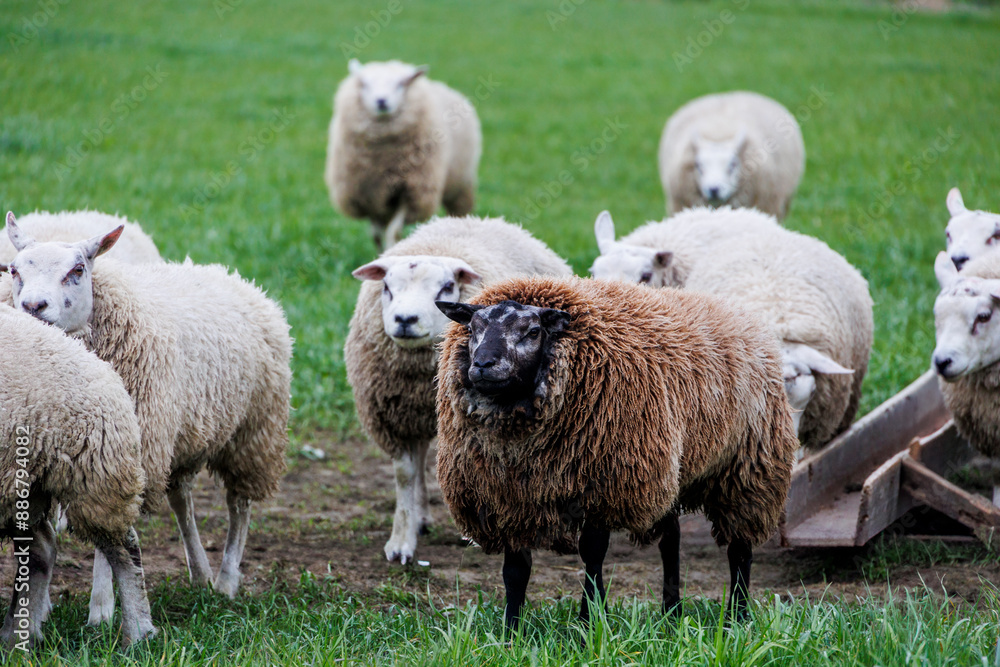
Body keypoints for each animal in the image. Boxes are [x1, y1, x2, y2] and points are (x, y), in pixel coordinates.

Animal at [0, 304, 155, 647]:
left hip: (95, 476)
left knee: (125, 550)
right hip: (24, 486)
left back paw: (138, 632)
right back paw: (18, 636)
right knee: (41, 550)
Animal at [325, 59, 483, 249]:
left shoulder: (412, 191)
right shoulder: (367, 194)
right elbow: (376, 235)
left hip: (460, 185)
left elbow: (394, 232)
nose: (381, 101)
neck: (383, 157)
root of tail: (442, 86)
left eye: (400, 84)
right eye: (365, 84)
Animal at [345, 215, 572, 565]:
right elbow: (405, 475)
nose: (405, 319)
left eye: (445, 287)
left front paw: (475, 533)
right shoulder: (395, 419)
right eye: (386, 287)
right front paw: (401, 541)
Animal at [435, 276, 798, 629]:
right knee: (671, 541)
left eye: (533, 331)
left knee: (740, 548)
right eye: (473, 329)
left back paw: (739, 618)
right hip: (669, 470)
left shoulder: (603, 488)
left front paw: (589, 623)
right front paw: (512, 633)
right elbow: (515, 570)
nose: (483, 364)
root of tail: (737, 312)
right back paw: (671, 615)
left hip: (749, 468)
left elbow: (593, 557)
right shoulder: (506, 499)